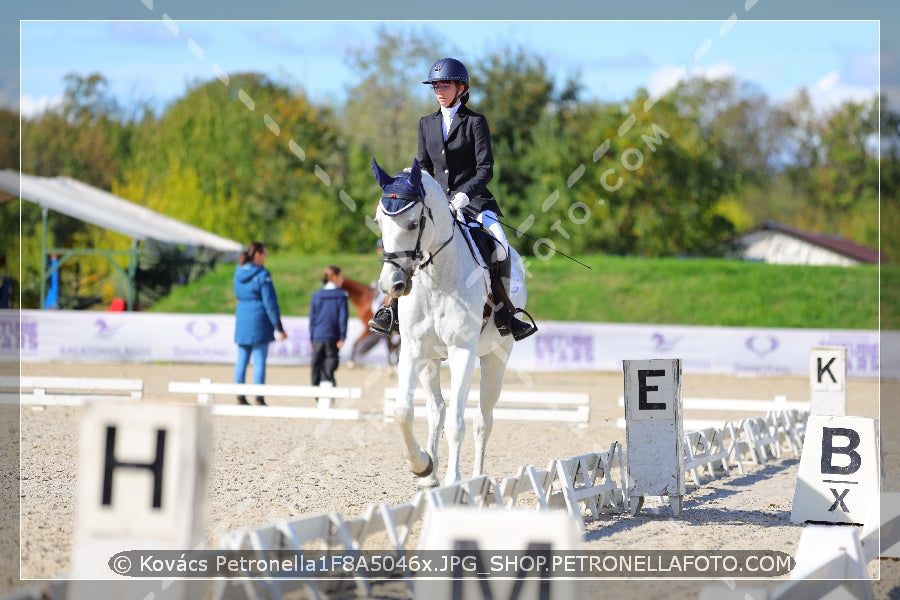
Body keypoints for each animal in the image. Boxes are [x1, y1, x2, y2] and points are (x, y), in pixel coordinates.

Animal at [372, 156, 524, 488]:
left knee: (482, 418)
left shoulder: (462, 351)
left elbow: (457, 421)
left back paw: (478, 479)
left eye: (412, 223)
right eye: (379, 222)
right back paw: (430, 477)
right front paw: (421, 466)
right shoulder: (413, 349)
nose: (391, 285)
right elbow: (403, 411)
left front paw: (454, 481)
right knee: (435, 411)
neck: (435, 278)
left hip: (496, 356)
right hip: (431, 360)